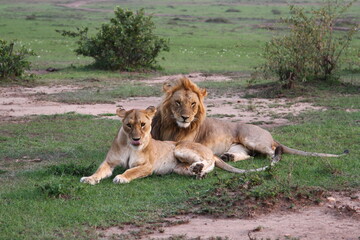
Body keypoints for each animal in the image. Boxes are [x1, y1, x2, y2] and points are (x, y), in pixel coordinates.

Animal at [81, 106, 272, 185]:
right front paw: (89, 178)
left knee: (209, 161)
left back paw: (199, 167)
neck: (130, 146)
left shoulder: (147, 166)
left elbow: (131, 171)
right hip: (178, 168)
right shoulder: (109, 162)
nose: (136, 139)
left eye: (143, 124)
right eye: (129, 125)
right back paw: (197, 172)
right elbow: (99, 171)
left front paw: (121, 177)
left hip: (180, 147)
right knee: (200, 167)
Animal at [150, 78, 348, 162]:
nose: (185, 117)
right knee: (250, 155)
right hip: (241, 146)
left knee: (272, 152)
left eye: (193, 104)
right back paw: (228, 156)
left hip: (252, 139)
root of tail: (271, 135)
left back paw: (273, 158)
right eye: (178, 102)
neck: (174, 126)